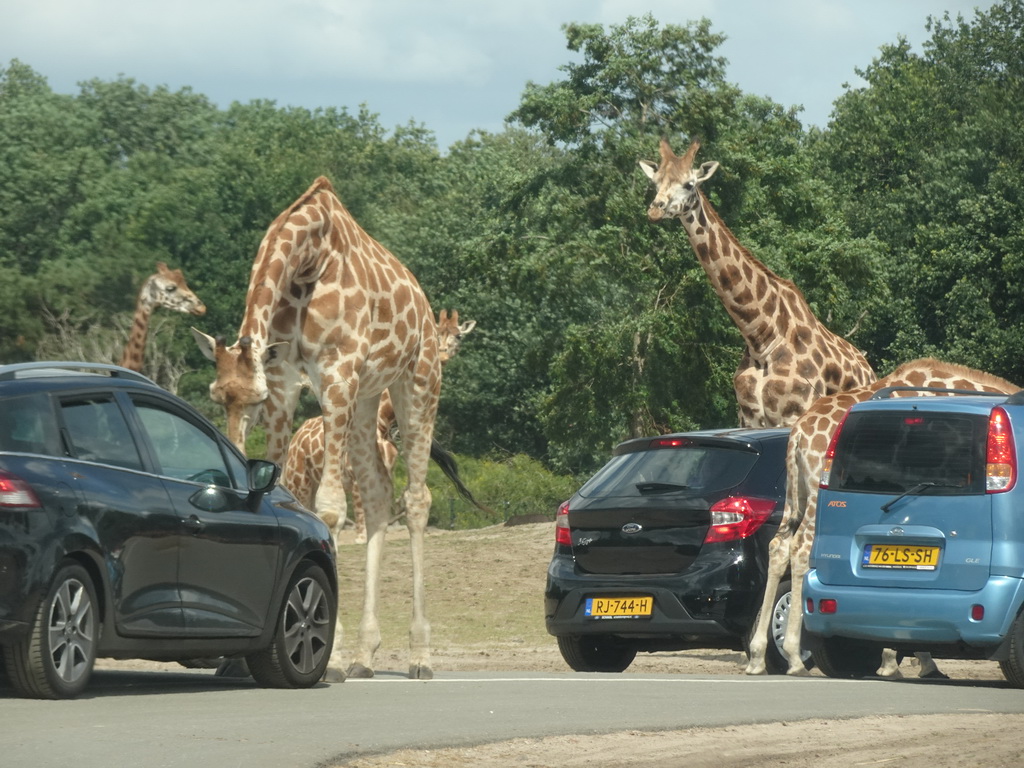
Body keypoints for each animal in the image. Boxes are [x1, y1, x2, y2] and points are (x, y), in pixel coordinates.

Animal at [193, 177, 442, 684]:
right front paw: (238, 659)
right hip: (369, 397)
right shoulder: (287, 380)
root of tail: (426, 308)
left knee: (417, 499)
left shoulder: (336, 372)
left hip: (417, 381)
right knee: (378, 493)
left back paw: (420, 656)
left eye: (253, 400)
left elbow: (328, 509)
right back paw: (367, 655)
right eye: (217, 396)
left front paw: (333, 657)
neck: (307, 258)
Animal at [282, 309, 477, 544]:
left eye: (458, 335)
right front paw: (359, 537)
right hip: (298, 479)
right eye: (438, 333)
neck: (382, 419)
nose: (443, 355)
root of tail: (297, 437)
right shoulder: (356, 477)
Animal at [638, 138, 872, 428]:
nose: (655, 209)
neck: (760, 338)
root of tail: (868, 369)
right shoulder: (747, 418)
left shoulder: (794, 413)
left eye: (689, 184)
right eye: (655, 182)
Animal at [745, 358, 1015, 675]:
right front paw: (897, 660)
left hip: (793, 495)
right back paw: (794, 657)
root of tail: (798, 433)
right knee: (800, 550)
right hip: (813, 499)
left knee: (779, 546)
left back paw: (757, 657)